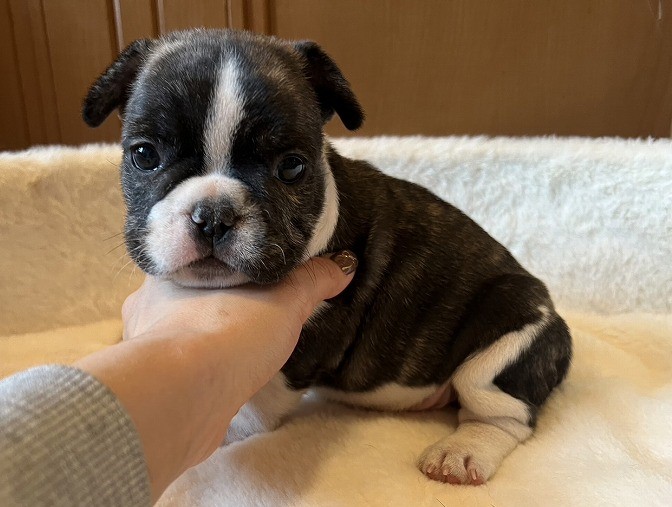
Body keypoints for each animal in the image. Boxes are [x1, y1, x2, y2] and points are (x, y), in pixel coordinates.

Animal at [83, 29, 571, 485]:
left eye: (291, 167)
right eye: (144, 155)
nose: (213, 215)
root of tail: (550, 312)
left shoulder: (300, 346)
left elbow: (259, 403)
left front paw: (225, 431)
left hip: (508, 335)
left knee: (504, 413)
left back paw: (462, 453)